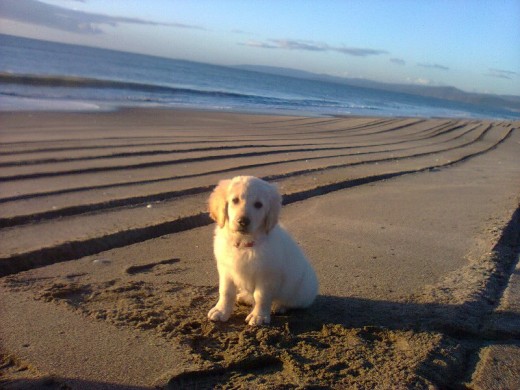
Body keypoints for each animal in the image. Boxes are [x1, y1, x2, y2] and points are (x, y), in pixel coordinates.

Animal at [206, 175, 316, 324]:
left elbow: (261, 296)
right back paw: (244, 297)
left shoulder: (267, 275)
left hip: (302, 291)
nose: (243, 221)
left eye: (258, 204)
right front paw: (220, 310)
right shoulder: (225, 270)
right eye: (235, 200)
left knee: (291, 302)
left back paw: (278, 306)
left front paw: (258, 316)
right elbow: (225, 292)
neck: (244, 243)